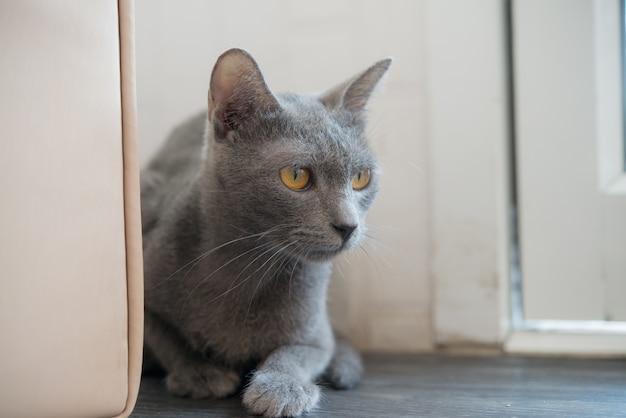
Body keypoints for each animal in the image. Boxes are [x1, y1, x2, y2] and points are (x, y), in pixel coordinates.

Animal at [141, 47, 390, 416]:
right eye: (296, 176)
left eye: (361, 178)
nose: (349, 225)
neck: (243, 269)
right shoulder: (141, 291)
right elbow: (165, 338)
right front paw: (199, 374)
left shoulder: (314, 334)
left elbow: (295, 353)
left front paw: (281, 388)